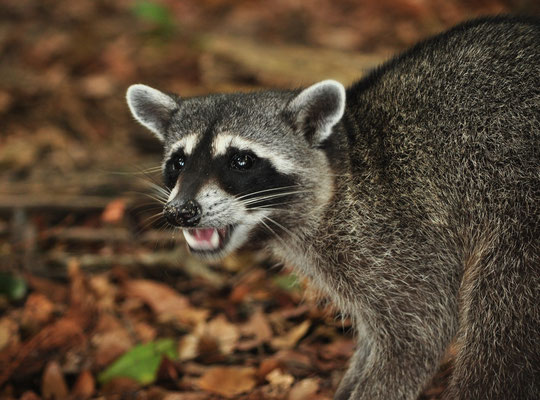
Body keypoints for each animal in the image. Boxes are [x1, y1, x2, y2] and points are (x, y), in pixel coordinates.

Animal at [127, 16, 540, 400]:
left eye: (241, 160)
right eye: (179, 162)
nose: (181, 212)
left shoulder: (397, 238)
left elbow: (419, 333)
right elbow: (376, 339)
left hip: (520, 212)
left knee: (503, 322)